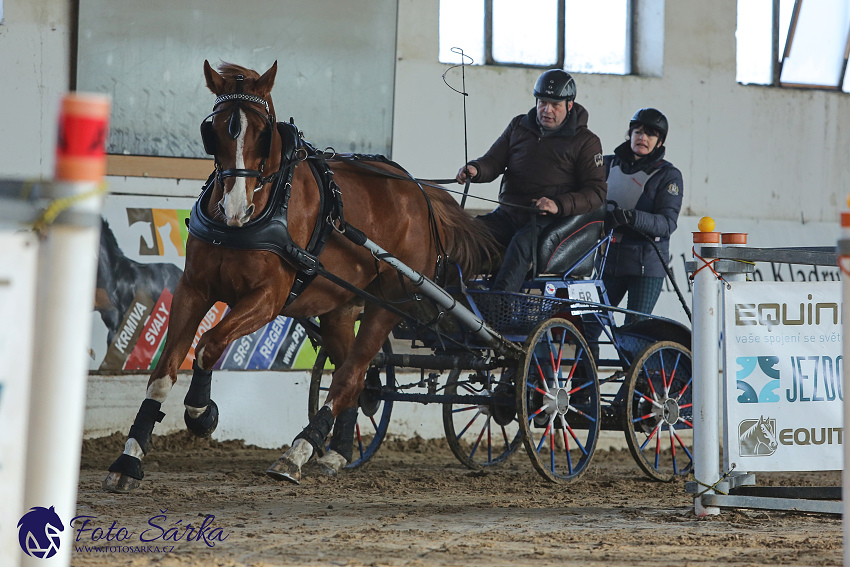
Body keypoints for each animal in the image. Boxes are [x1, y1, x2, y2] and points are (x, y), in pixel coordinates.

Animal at [103, 60, 494, 490]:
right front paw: (129, 459)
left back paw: (297, 453)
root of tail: (419, 192)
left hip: (388, 303)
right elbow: (164, 371)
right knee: (357, 377)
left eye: (263, 132)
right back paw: (335, 453)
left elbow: (209, 344)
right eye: (214, 129)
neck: (263, 209)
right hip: (340, 307)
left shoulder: (268, 298)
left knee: (349, 376)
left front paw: (202, 414)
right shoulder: (193, 289)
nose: (234, 207)